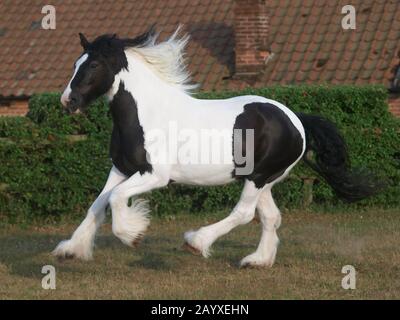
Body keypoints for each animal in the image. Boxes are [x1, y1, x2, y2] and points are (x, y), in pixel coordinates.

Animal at [53, 26, 378, 268]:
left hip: (259, 177)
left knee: (244, 213)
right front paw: (70, 249)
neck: (146, 113)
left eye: (94, 65)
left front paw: (134, 234)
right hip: (263, 179)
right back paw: (257, 261)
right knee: (270, 216)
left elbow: (116, 198)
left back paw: (196, 242)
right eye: (75, 64)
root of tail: (296, 119)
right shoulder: (121, 168)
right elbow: (98, 203)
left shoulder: (155, 175)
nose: (68, 101)